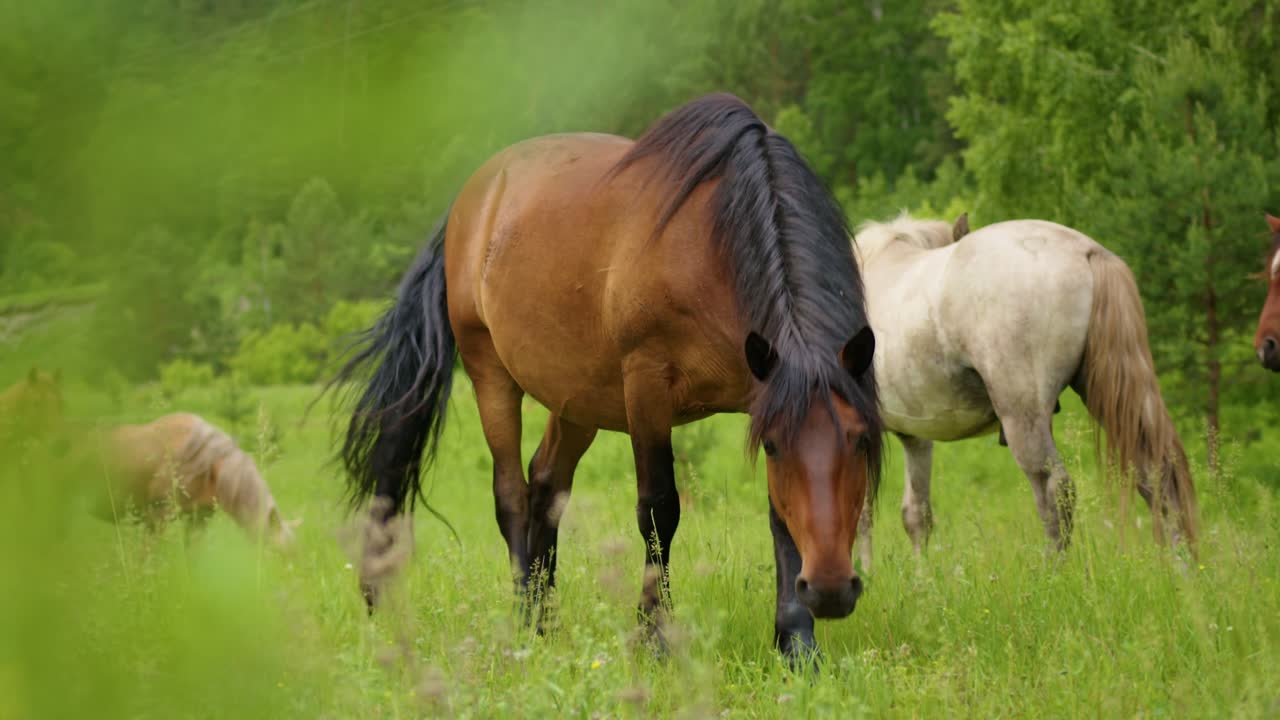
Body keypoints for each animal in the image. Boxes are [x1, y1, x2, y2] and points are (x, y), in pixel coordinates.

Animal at [331, 94, 883, 661]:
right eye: (772, 447)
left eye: (862, 441)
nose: (830, 588)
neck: (710, 246)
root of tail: (471, 200)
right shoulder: (648, 387)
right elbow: (659, 510)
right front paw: (655, 635)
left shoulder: (763, 388)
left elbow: (779, 515)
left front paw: (796, 642)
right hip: (490, 371)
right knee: (511, 495)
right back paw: (524, 622)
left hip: (577, 399)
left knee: (545, 486)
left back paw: (544, 618)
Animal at [851, 213, 1197, 569]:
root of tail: (1085, 250)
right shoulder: (916, 436)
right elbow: (916, 514)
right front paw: (921, 575)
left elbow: (861, 513)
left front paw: (867, 572)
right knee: (1158, 476)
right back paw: (1183, 570)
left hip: (1024, 420)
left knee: (1055, 489)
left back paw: (1053, 571)